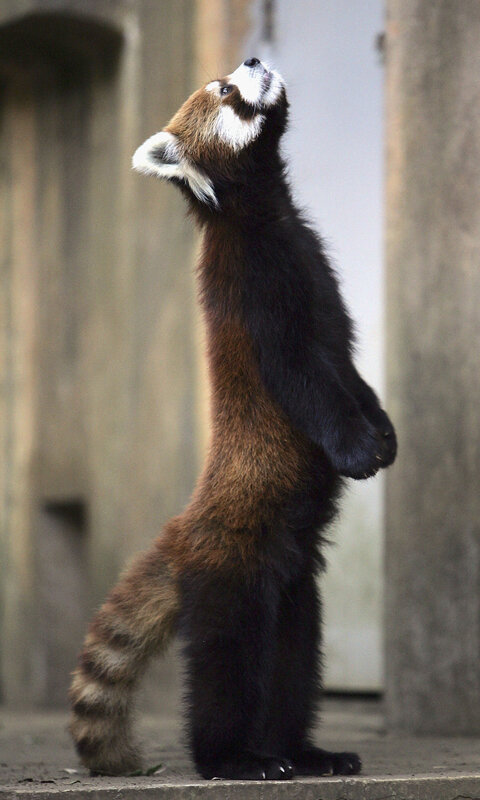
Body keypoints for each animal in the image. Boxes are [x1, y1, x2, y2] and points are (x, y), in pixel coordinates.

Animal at [69, 58, 397, 781]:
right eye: (222, 90)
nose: (250, 62)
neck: (267, 212)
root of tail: (185, 531)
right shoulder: (258, 290)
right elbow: (309, 380)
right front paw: (357, 450)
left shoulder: (317, 276)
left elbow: (352, 377)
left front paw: (384, 433)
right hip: (232, 573)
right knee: (227, 666)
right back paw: (234, 758)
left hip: (296, 587)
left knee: (293, 664)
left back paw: (302, 752)